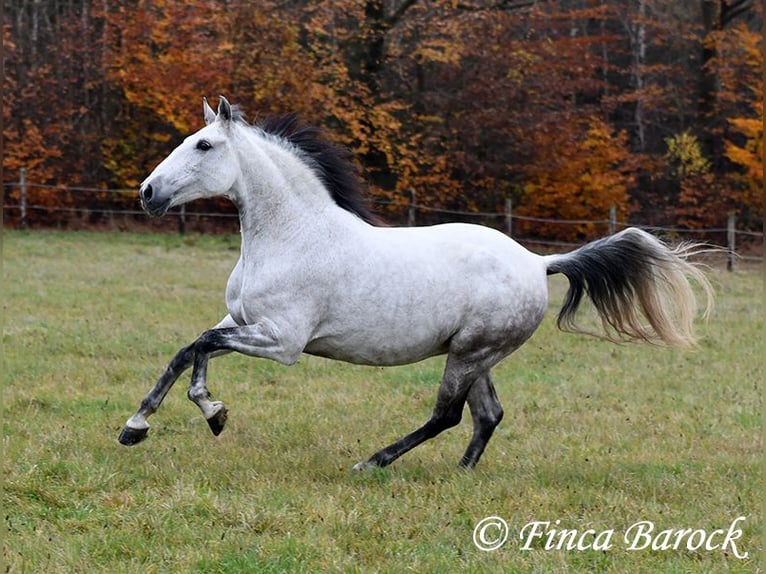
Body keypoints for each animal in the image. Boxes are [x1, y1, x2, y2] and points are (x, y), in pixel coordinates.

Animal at [118, 95, 712, 472]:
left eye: (203, 146)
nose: (147, 192)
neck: (293, 235)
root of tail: (538, 261)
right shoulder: (242, 322)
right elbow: (187, 350)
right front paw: (141, 425)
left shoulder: (282, 341)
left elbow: (199, 346)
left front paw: (208, 412)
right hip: (476, 355)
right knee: (488, 415)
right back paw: (459, 474)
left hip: (470, 354)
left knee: (447, 415)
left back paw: (372, 462)